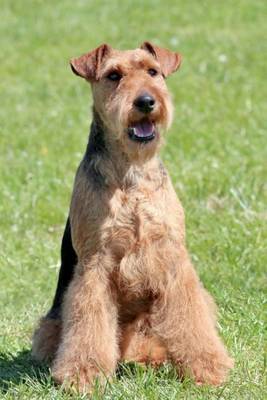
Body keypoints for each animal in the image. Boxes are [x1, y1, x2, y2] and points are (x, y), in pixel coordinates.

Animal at [32, 42, 234, 392]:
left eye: (153, 71)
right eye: (114, 75)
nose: (146, 101)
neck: (132, 174)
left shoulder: (172, 257)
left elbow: (192, 325)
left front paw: (209, 369)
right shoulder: (95, 264)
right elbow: (90, 324)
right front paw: (84, 375)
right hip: (53, 323)